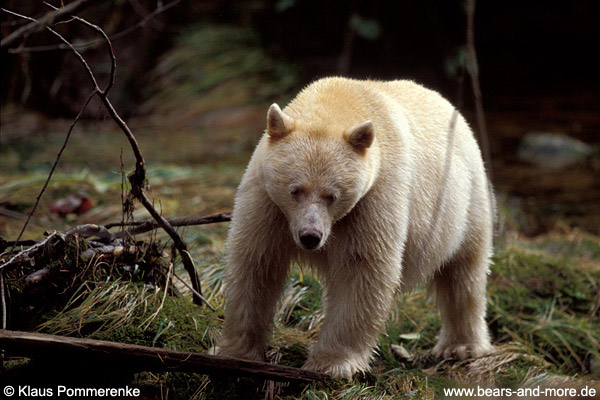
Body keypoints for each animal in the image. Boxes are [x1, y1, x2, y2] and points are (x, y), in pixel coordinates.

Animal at [213, 77, 494, 378]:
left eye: (332, 196)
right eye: (295, 190)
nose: (310, 236)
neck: (338, 100)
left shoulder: (374, 197)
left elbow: (361, 269)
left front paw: (332, 364)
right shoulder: (267, 200)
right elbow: (256, 262)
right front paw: (235, 352)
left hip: (464, 202)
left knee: (464, 273)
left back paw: (461, 347)